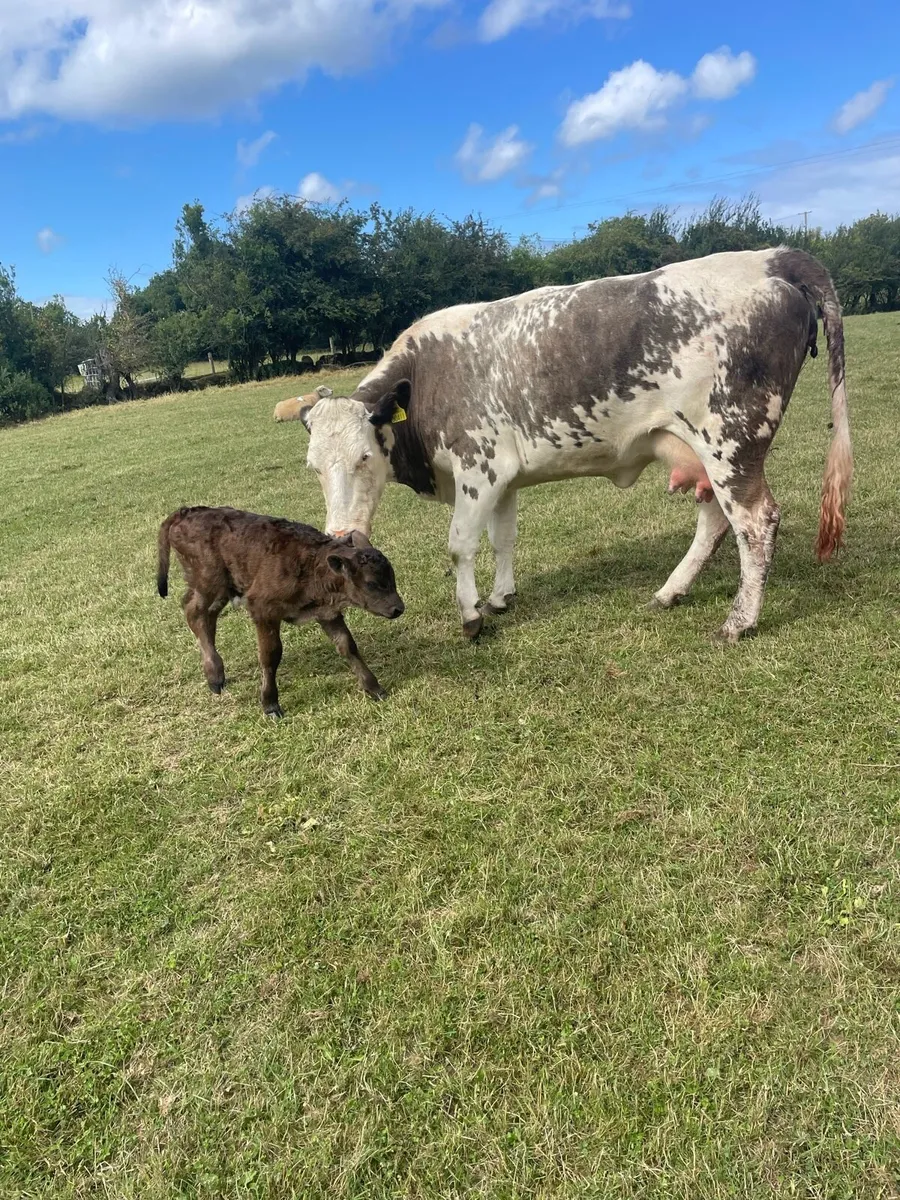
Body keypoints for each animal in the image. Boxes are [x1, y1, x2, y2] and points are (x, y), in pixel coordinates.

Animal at [157, 506, 404, 717]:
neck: (312, 564)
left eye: (392, 577)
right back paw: (215, 676)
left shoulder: (328, 613)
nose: (398, 608)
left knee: (205, 615)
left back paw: (216, 675)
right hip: (209, 583)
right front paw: (270, 705)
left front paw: (375, 689)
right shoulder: (263, 610)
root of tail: (186, 512)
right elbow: (270, 655)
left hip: (220, 590)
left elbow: (347, 646)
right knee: (194, 613)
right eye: (372, 583)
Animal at [298, 248, 852, 643]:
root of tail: (769, 256)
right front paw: (500, 597)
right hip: (705, 452)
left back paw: (739, 622)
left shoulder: (479, 466)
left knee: (755, 522)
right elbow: (503, 539)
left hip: (731, 441)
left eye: (364, 457)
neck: (426, 372)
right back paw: (670, 592)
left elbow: (460, 544)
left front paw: (471, 615)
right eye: (313, 467)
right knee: (716, 520)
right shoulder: (504, 478)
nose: (341, 535)